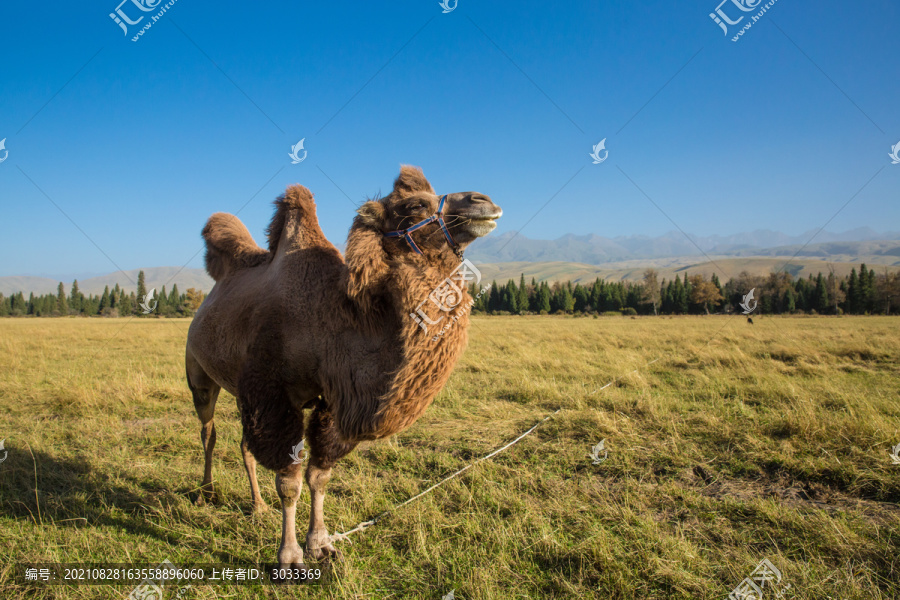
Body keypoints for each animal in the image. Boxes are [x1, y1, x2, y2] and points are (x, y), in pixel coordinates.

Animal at [185, 166, 502, 568]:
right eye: (414, 205)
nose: (483, 201)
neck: (332, 319)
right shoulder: (274, 393)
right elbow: (289, 481)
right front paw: (289, 556)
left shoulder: (332, 399)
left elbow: (319, 476)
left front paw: (320, 544)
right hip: (199, 374)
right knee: (207, 432)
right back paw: (205, 491)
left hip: (241, 391)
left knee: (243, 444)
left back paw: (257, 506)